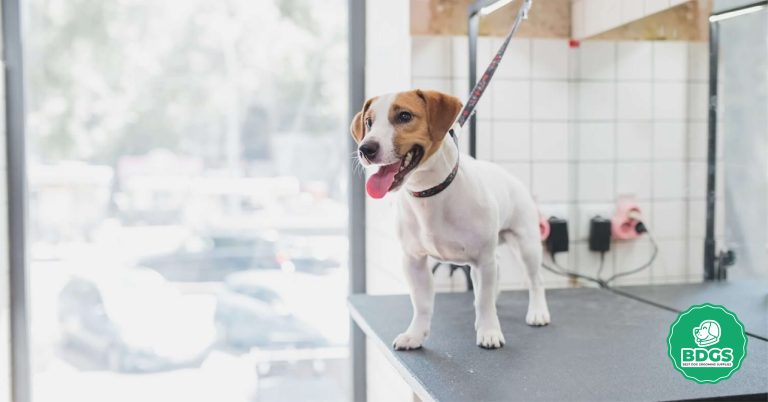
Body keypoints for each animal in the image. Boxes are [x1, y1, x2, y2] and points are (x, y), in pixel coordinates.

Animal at [352, 90, 548, 348]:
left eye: (404, 116)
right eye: (368, 123)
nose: (365, 149)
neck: (430, 193)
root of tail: (510, 177)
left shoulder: (482, 260)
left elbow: (484, 303)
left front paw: (489, 331)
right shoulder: (413, 260)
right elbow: (422, 304)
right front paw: (415, 334)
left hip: (526, 244)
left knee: (535, 279)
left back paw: (538, 312)